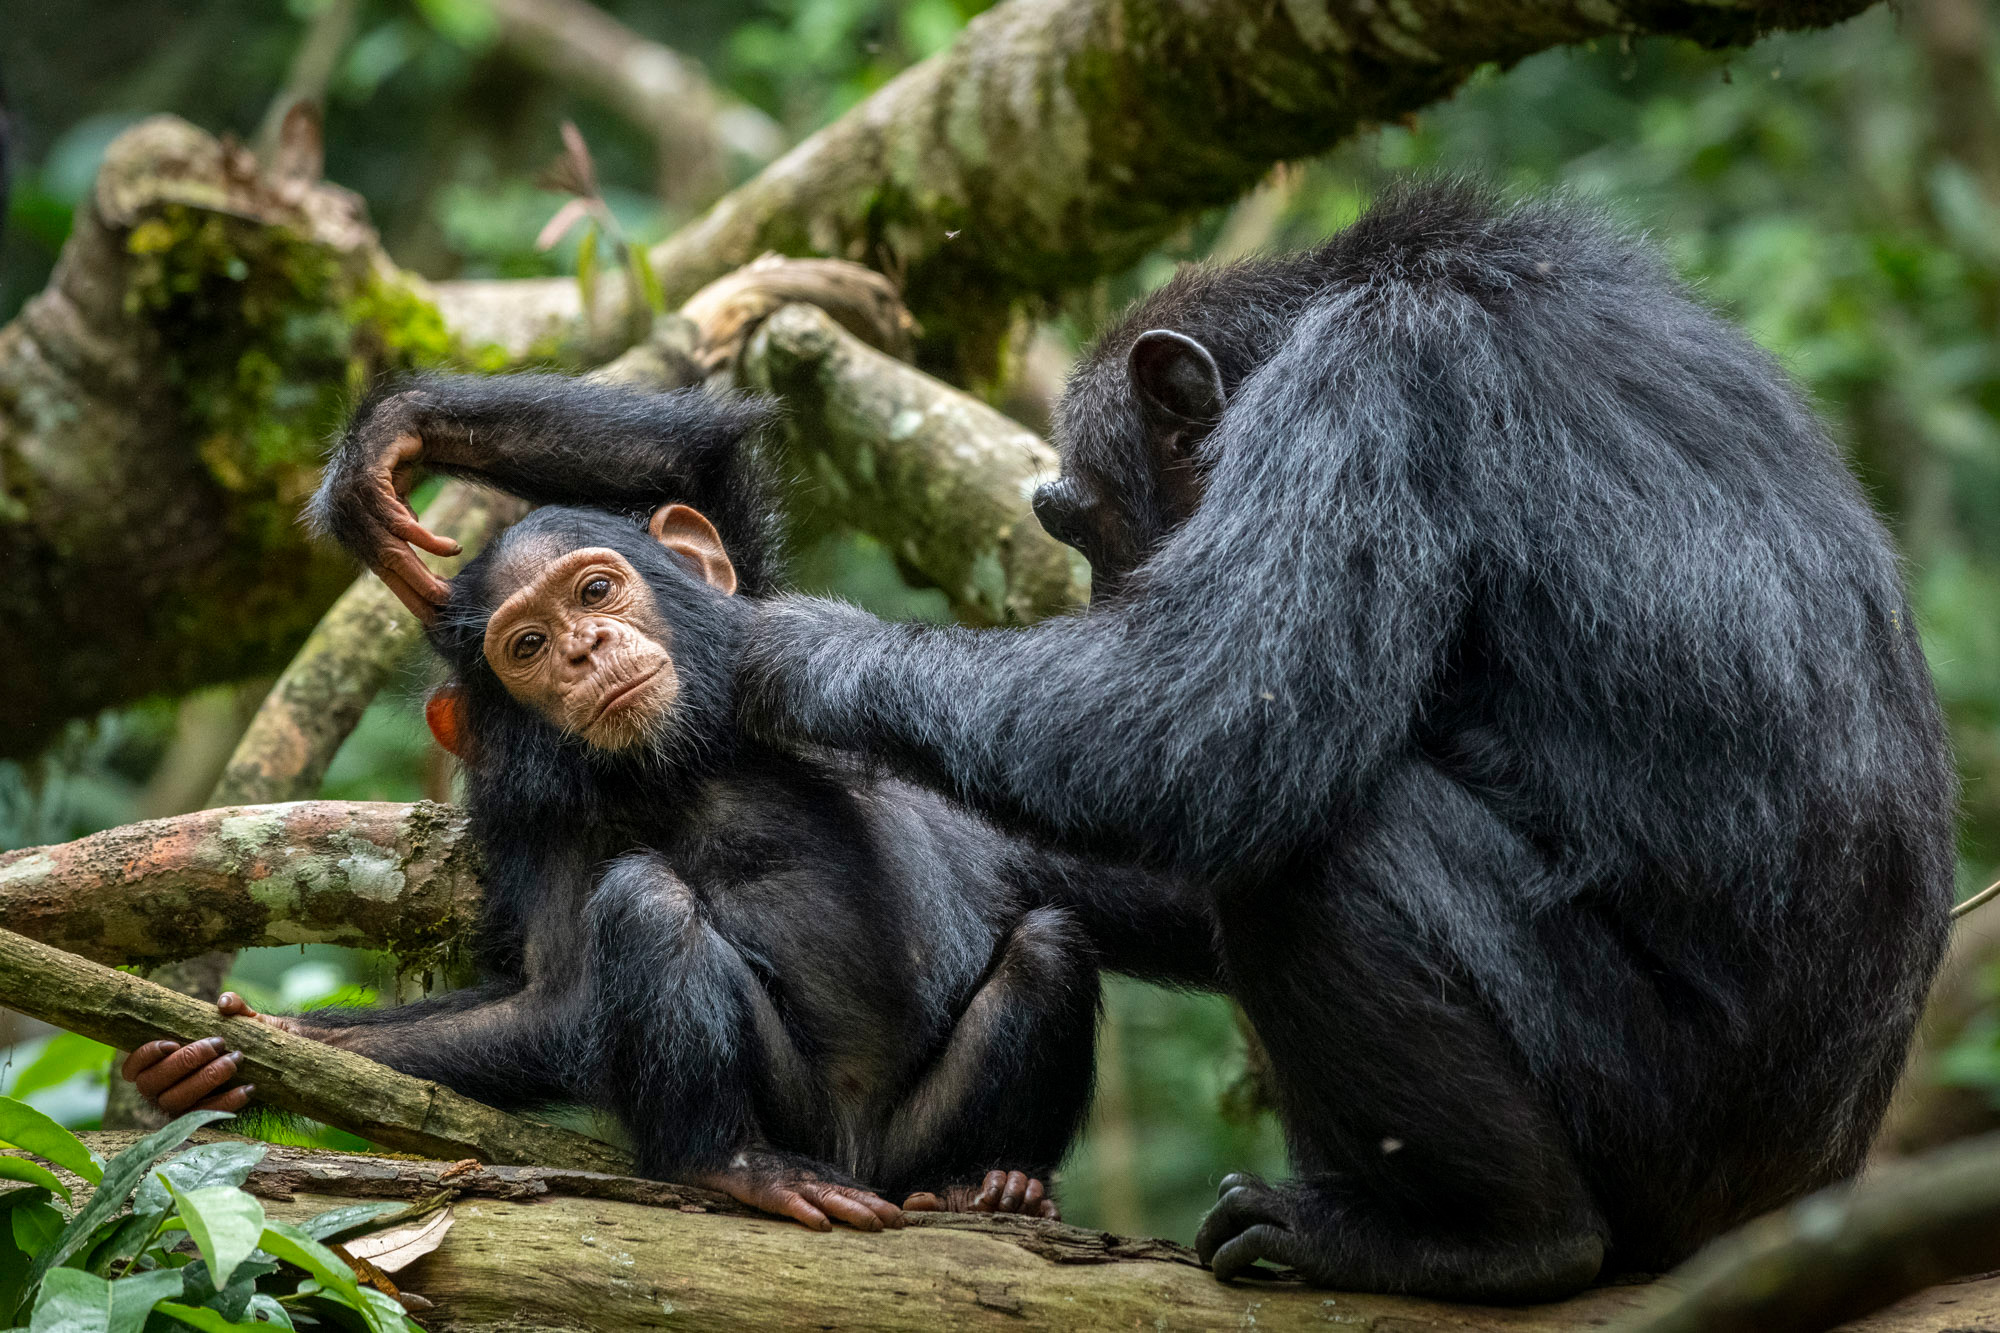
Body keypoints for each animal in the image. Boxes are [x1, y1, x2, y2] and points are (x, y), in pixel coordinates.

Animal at [129, 374, 1216, 1224]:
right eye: (527, 645)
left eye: (595, 591)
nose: (583, 650)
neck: (692, 754)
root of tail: (861, 1164)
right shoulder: (543, 826)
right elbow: (553, 998)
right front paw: (246, 1053)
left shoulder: (748, 592)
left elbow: (697, 464)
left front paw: (388, 445)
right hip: (800, 1122)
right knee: (645, 903)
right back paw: (734, 1165)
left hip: (917, 1136)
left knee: (1048, 946)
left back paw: (990, 1184)